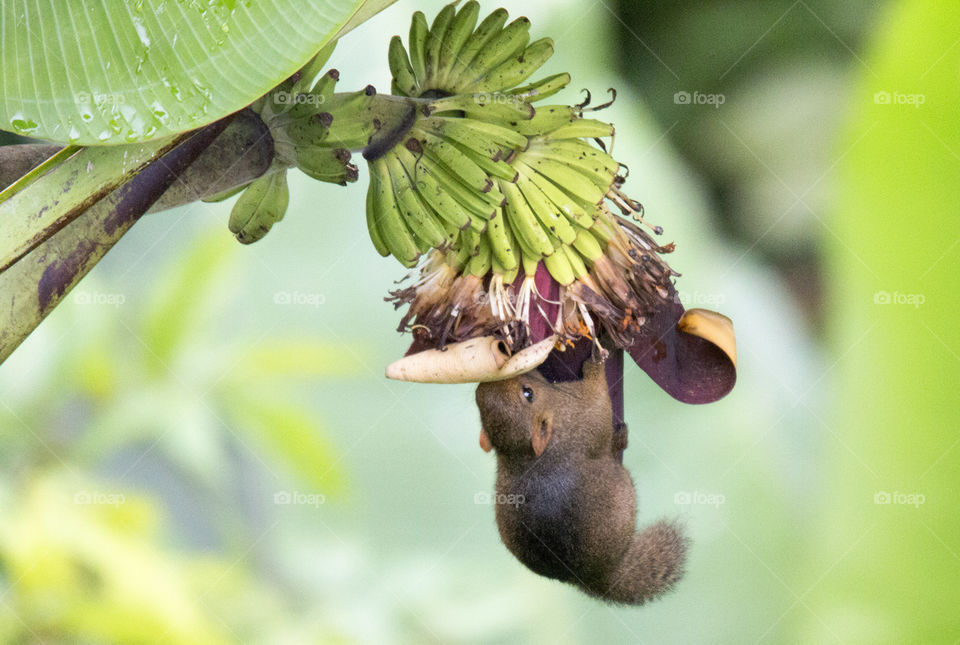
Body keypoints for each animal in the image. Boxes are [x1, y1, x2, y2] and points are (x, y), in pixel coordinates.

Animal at [475, 359, 688, 605]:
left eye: (480, 413)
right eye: (528, 394)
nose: (481, 386)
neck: (523, 454)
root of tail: (592, 576)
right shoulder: (582, 414)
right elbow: (598, 400)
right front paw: (596, 364)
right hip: (624, 492)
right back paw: (618, 441)